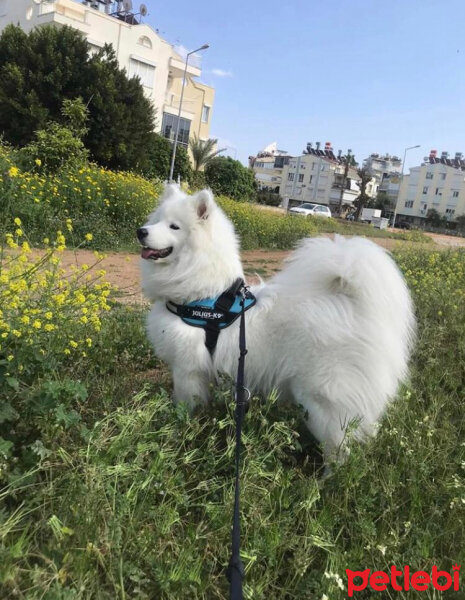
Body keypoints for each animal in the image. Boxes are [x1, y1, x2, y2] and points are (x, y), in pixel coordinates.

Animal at [138, 186, 414, 460]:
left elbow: (184, 405)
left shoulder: (187, 370)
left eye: (174, 226)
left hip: (323, 399)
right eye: (156, 220)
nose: (141, 231)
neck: (202, 297)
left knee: (340, 450)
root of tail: (351, 303)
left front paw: (179, 427)